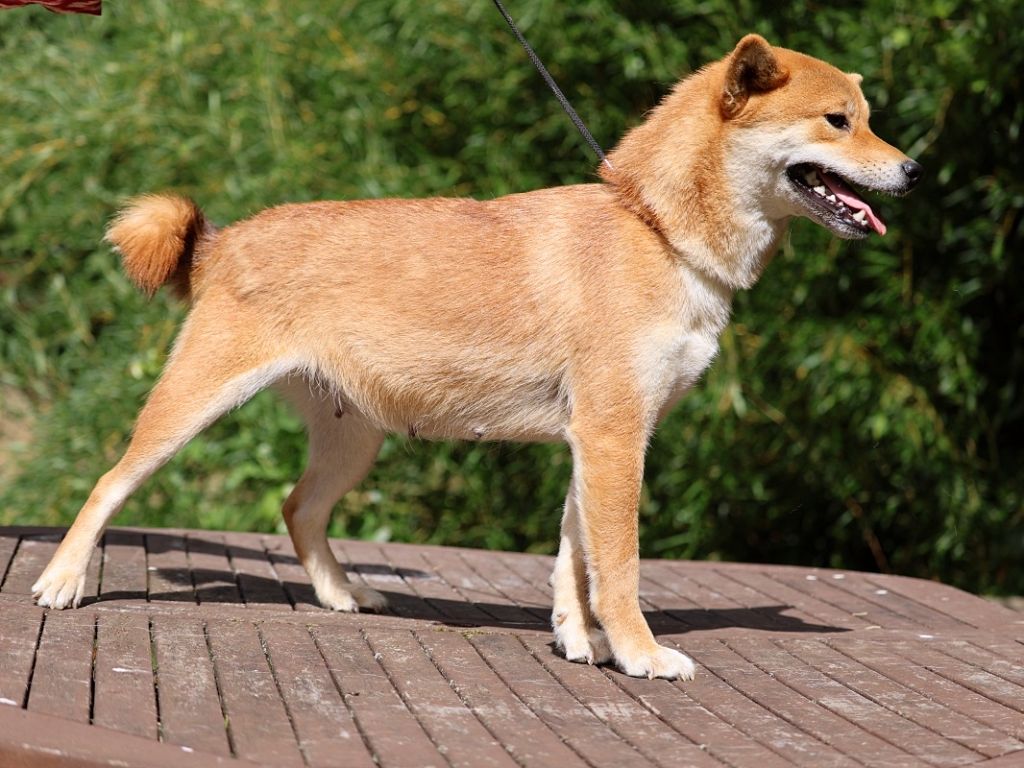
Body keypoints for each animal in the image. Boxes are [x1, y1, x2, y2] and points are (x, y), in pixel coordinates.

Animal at [34, 39, 921, 684]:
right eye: (839, 120)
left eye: (867, 118)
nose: (913, 170)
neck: (656, 228)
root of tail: (224, 241)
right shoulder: (613, 439)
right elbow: (619, 569)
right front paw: (639, 654)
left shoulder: (597, 441)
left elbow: (572, 560)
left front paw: (578, 641)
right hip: (192, 407)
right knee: (110, 482)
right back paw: (62, 582)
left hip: (354, 440)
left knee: (299, 509)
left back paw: (344, 593)